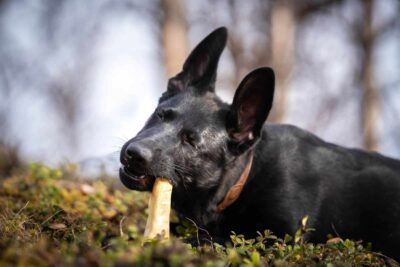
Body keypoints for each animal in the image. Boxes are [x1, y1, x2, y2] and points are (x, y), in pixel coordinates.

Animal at [119, 27, 400, 260]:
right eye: (160, 115)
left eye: (191, 141)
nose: (134, 153)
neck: (243, 179)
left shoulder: (278, 241)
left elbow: (206, 239)